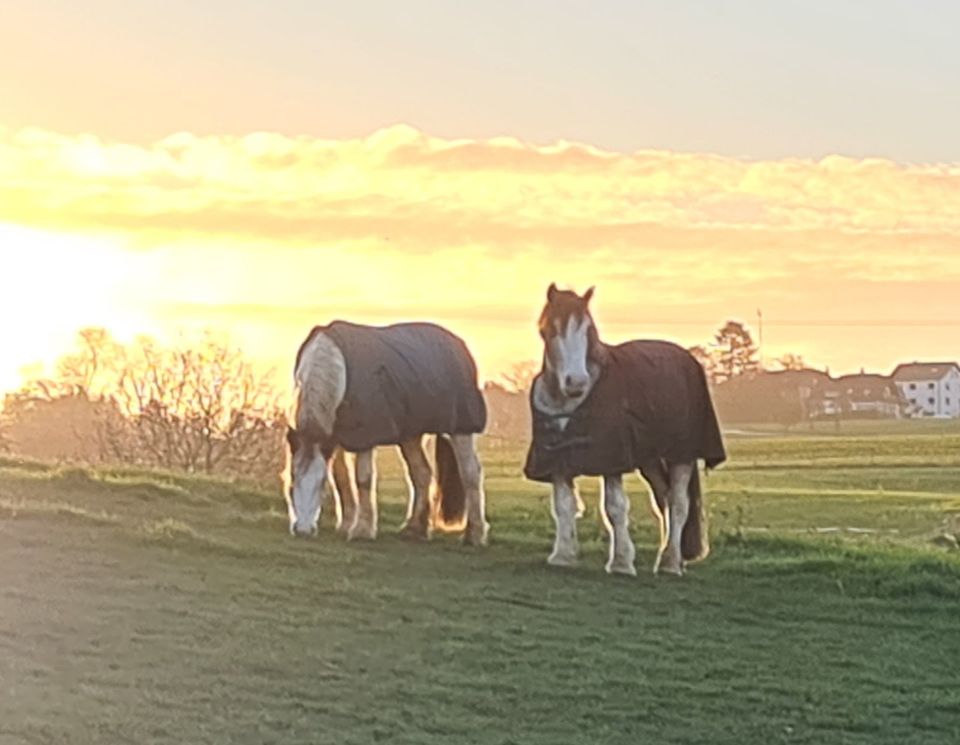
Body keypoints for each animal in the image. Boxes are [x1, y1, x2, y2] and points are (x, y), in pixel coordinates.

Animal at [284, 322, 492, 548]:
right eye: (291, 480)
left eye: (320, 486)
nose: (303, 530)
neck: (337, 369)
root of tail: (458, 344)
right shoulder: (333, 439)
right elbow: (342, 480)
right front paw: (346, 525)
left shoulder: (364, 436)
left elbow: (363, 479)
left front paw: (362, 530)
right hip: (411, 434)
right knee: (422, 473)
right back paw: (415, 529)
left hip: (461, 429)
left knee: (470, 474)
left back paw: (474, 534)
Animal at [524, 284, 728, 576]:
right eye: (549, 329)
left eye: (588, 329)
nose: (576, 383)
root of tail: (686, 358)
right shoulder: (557, 459)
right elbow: (563, 506)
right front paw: (563, 556)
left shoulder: (611, 461)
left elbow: (615, 507)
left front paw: (621, 562)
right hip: (650, 459)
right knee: (664, 499)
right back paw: (672, 557)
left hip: (682, 455)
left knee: (679, 504)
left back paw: (670, 563)